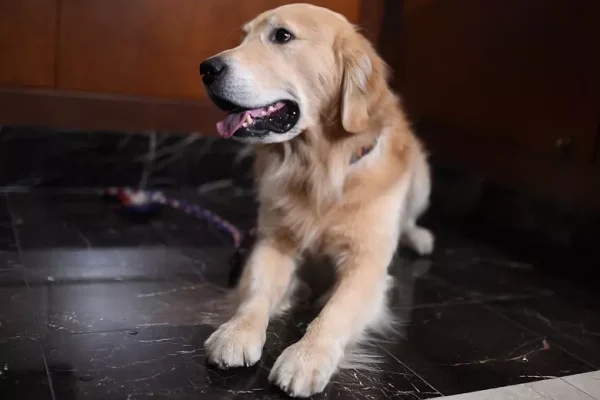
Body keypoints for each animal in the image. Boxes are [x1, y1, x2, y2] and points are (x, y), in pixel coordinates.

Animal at [199, 3, 434, 396]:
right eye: (243, 37)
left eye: (282, 36)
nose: (206, 68)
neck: (318, 168)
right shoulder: (273, 242)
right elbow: (255, 293)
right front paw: (237, 331)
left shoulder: (367, 262)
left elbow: (336, 310)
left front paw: (305, 356)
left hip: (421, 178)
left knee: (412, 218)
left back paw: (417, 236)